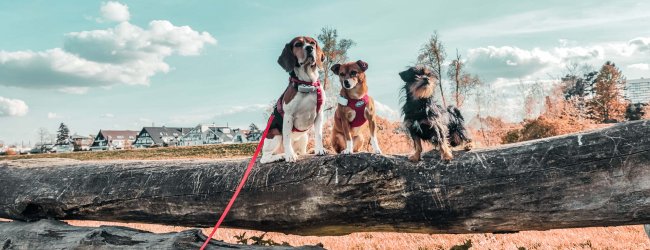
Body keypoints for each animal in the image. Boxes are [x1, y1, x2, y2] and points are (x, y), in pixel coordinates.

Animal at [258, 35, 326, 164]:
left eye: (312, 43)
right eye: (298, 44)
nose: (309, 48)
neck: (307, 84)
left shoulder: (319, 114)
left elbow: (319, 135)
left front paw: (320, 149)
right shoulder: (288, 116)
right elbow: (287, 138)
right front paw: (289, 156)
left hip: (304, 137)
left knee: (302, 152)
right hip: (274, 134)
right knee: (265, 158)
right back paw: (281, 155)